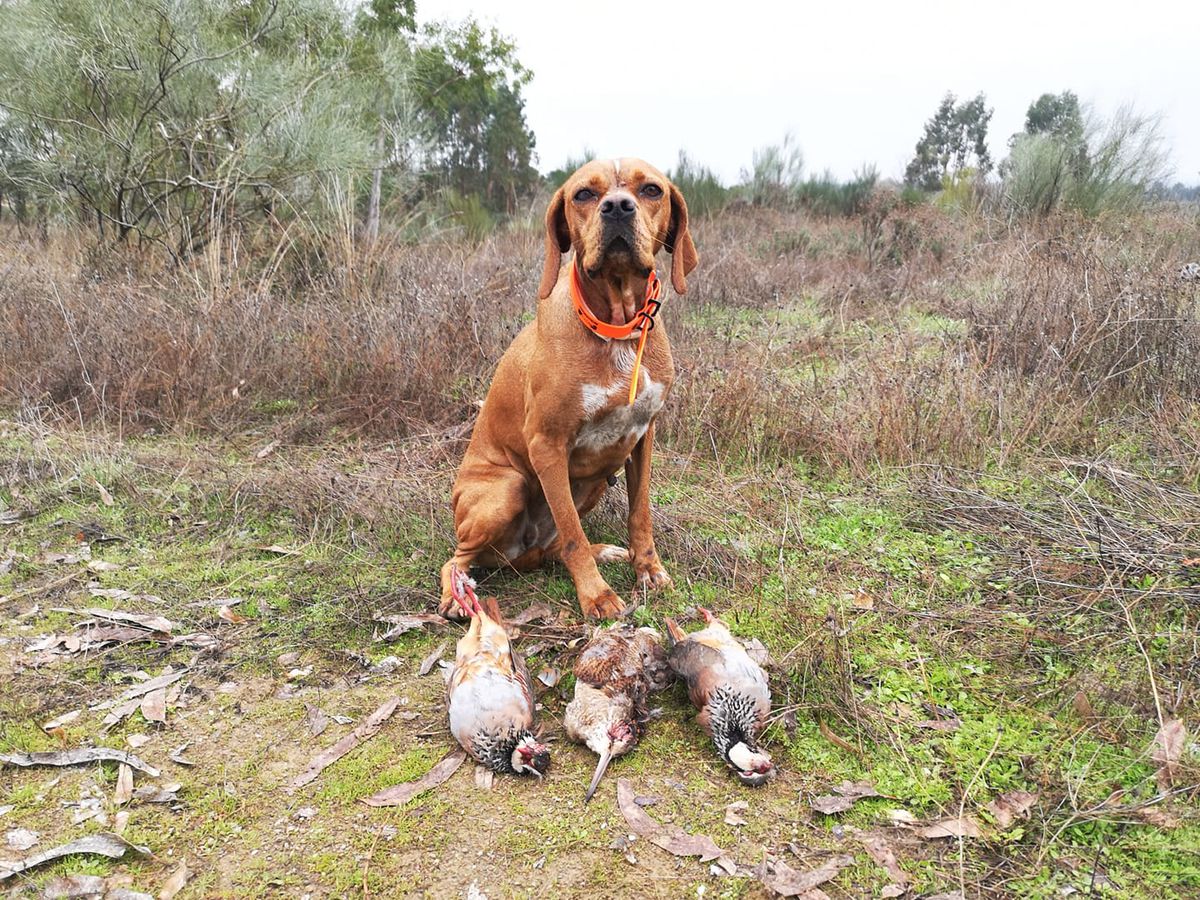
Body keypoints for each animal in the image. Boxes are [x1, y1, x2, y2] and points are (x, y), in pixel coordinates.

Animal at [441, 157, 700, 619]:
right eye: (584, 194)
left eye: (651, 190)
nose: (617, 207)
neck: (616, 327)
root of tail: (515, 554)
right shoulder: (547, 444)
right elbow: (573, 534)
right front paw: (595, 595)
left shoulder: (643, 436)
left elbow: (639, 513)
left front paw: (648, 569)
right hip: (507, 488)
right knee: (459, 558)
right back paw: (454, 595)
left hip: (594, 481)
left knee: (553, 547)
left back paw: (602, 552)